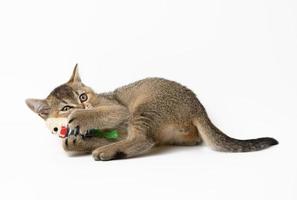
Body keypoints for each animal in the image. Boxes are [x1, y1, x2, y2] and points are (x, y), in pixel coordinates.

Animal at [25, 65, 278, 161]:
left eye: (83, 97)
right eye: (65, 107)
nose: (82, 107)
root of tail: (198, 106)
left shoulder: (120, 110)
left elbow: (103, 115)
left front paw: (82, 122)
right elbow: (68, 144)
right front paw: (77, 140)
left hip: (144, 108)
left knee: (143, 140)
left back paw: (107, 152)